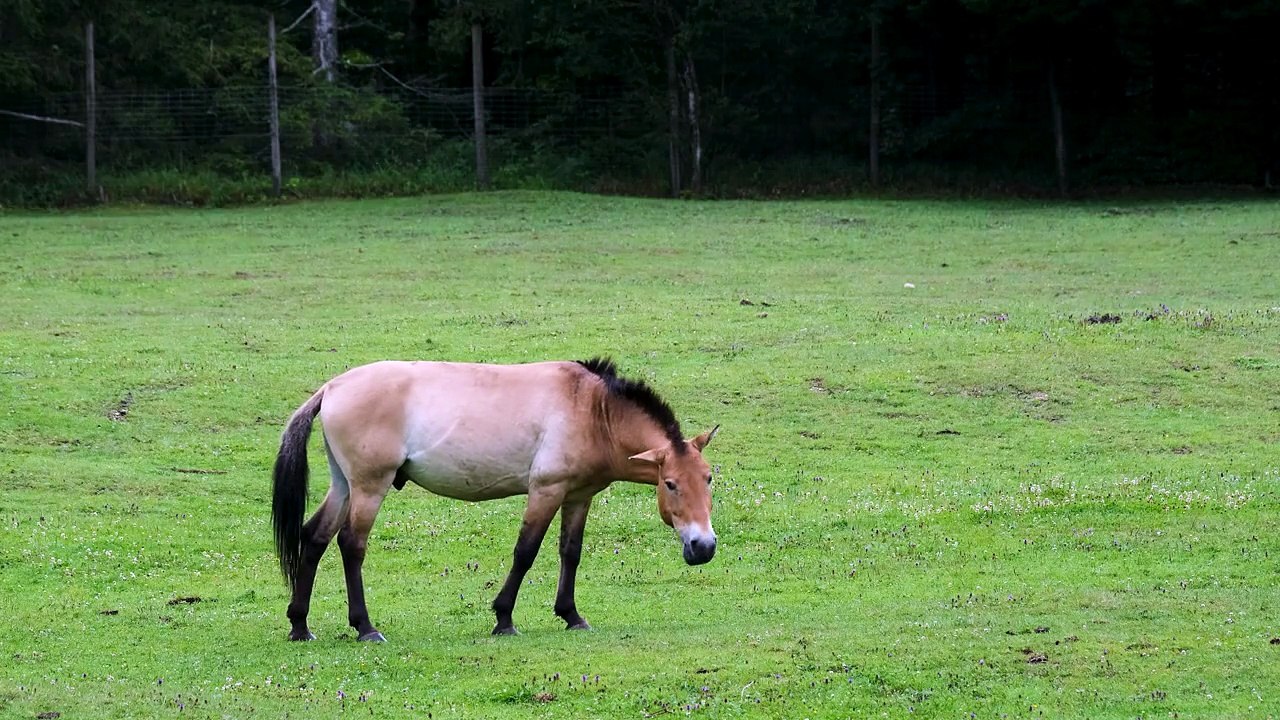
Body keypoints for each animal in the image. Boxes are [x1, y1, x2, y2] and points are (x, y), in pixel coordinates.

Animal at [271, 357, 719, 642]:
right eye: (671, 484)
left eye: (709, 478)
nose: (704, 547)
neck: (593, 410)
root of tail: (331, 388)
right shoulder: (546, 490)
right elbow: (526, 552)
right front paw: (504, 618)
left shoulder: (578, 496)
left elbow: (570, 553)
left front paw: (571, 615)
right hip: (369, 486)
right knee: (351, 545)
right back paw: (365, 627)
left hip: (344, 485)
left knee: (314, 537)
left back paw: (300, 626)